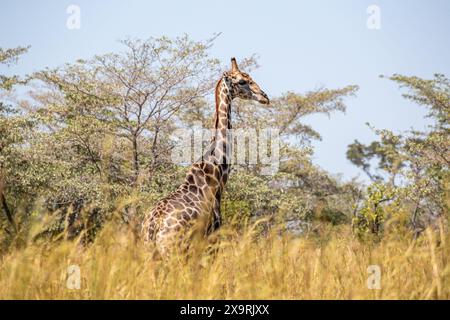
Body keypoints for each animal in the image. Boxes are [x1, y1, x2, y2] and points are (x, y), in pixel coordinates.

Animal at [142, 57, 268, 252]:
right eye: (242, 81)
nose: (264, 97)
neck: (216, 173)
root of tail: (153, 226)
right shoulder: (212, 238)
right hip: (174, 250)